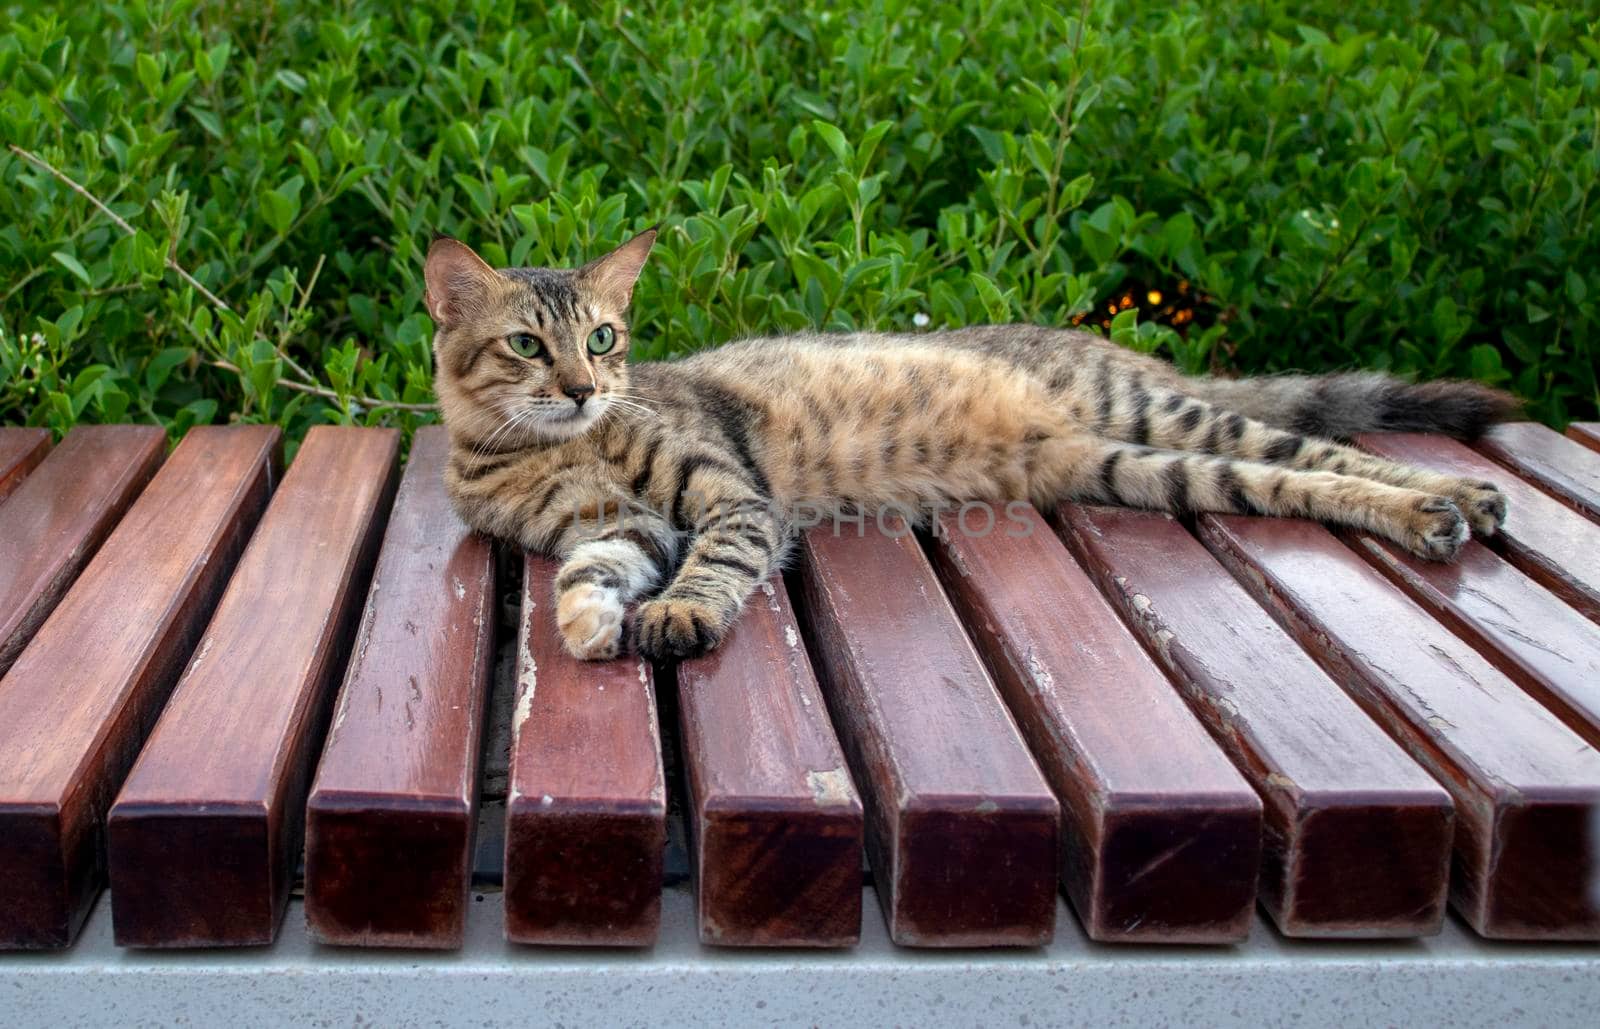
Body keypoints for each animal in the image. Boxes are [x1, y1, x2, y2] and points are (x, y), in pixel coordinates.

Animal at [422, 228, 1510, 665]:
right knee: (1291, 476)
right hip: (1144, 466)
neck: (529, 452)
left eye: (604, 340)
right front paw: (587, 623)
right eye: (528, 345)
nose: (583, 387)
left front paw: (679, 614)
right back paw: (1444, 510)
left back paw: (1449, 499)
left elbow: (717, 562)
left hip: (1162, 418)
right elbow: (592, 569)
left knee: (1329, 450)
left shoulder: (729, 496)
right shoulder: (619, 526)